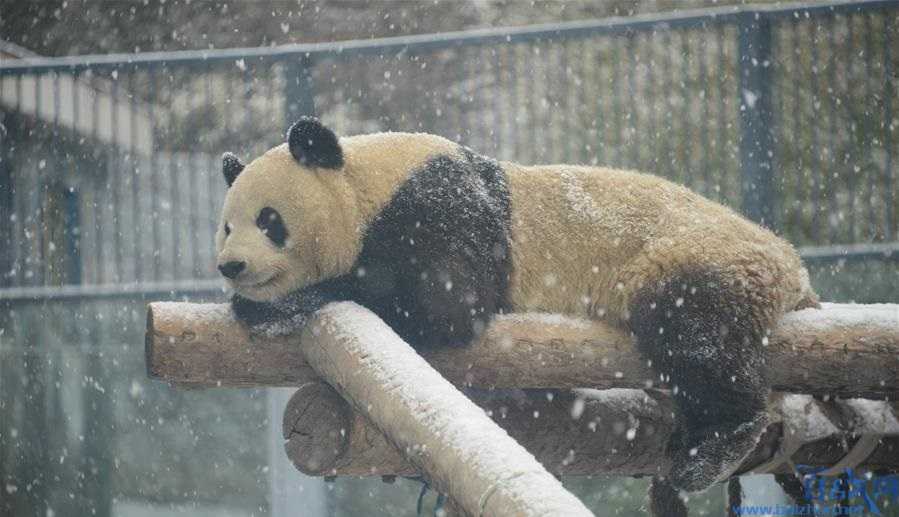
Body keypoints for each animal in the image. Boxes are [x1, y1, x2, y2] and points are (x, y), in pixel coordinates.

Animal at [218, 118, 824, 496]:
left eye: (269, 221)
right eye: (226, 224)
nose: (231, 265)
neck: (368, 180)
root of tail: (794, 267)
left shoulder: (438, 204)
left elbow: (442, 302)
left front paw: (277, 305)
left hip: (695, 254)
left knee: (696, 331)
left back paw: (711, 446)